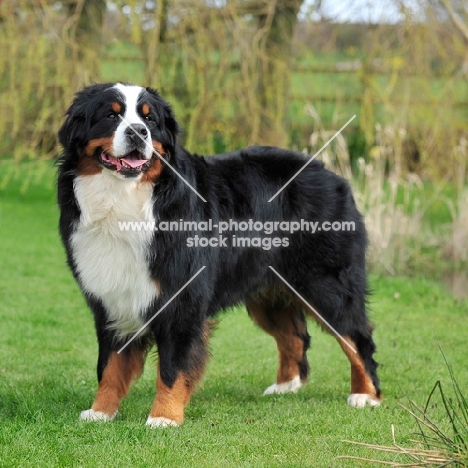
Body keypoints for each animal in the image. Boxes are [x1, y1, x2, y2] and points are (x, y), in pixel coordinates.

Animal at [57, 83, 380, 428]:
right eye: (110, 115)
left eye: (149, 119)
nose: (137, 132)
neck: (124, 202)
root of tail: (331, 174)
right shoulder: (112, 298)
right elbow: (110, 365)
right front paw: (100, 412)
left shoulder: (182, 300)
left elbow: (172, 367)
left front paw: (164, 417)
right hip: (267, 289)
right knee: (294, 336)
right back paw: (285, 386)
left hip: (327, 286)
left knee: (357, 338)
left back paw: (366, 395)